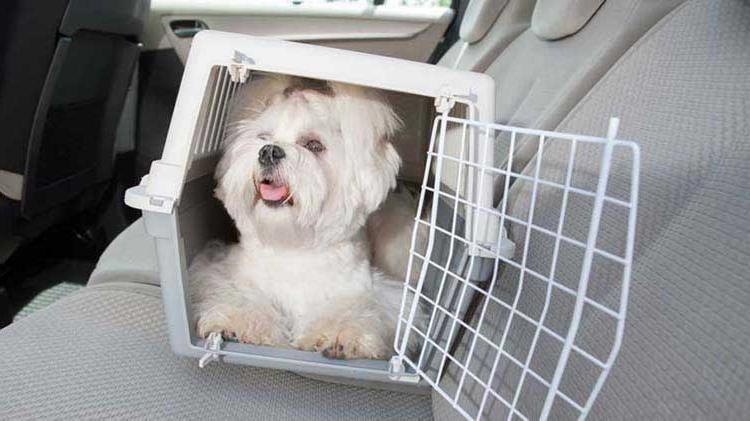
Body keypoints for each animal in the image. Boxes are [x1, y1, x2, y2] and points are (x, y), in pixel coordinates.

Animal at [191, 75, 418, 358]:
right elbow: (241, 296)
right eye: (262, 137)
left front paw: (337, 335)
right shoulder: (229, 272)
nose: (268, 151)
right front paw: (242, 323)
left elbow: (350, 309)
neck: (293, 246)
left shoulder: (366, 290)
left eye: (314, 145)